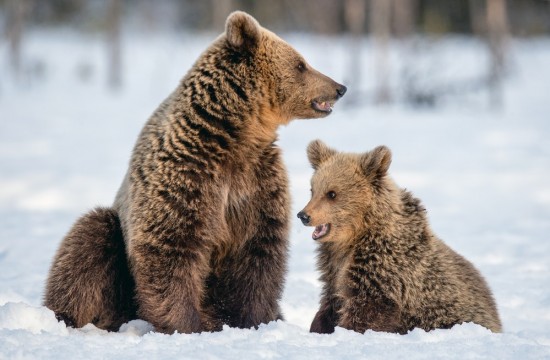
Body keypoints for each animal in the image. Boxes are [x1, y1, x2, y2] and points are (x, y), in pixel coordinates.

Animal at [43, 11, 348, 334]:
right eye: (301, 64)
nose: (339, 87)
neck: (233, 137)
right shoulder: (188, 175)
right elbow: (173, 246)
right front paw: (186, 323)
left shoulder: (258, 182)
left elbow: (259, 252)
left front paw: (254, 320)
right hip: (114, 264)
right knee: (89, 240)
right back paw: (67, 316)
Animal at [300, 140, 502, 334]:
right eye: (312, 190)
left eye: (332, 193)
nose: (303, 215)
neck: (354, 239)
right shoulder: (333, 268)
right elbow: (330, 301)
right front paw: (319, 326)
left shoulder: (382, 268)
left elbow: (366, 311)